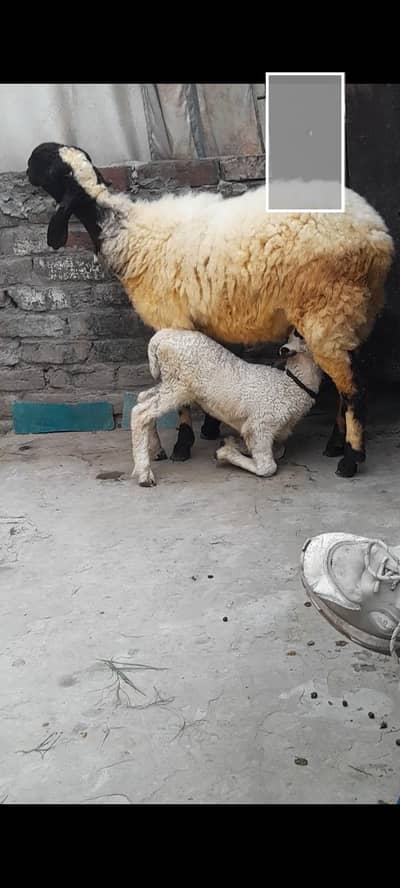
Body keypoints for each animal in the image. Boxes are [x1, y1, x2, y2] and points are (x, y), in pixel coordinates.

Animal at [130, 327, 322, 487]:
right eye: (301, 334)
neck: (291, 387)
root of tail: (161, 337)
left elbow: (280, 450)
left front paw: (233, 443)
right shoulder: (260, 425)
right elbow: (267, 467)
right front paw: (225, 452)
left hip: (170, 382)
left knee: (142, 398)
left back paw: (156, 450)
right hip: (179, 383)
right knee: (141, 412)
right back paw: (145, 475)